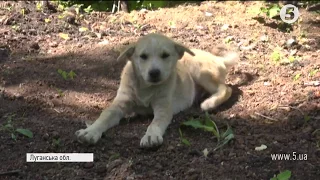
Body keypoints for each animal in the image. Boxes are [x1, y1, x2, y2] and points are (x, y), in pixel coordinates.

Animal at [75, 33, 238, 148]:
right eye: (143, 56)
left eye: (165, 55)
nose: (154, 73)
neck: (145, 88)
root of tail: (219, 59)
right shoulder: (120, 103)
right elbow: (104, 116)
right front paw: (91, 131)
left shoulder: (163, 107)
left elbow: (156, 122)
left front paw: (150, 136)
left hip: (200, 71)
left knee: (227, 88)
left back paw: (209, 103)